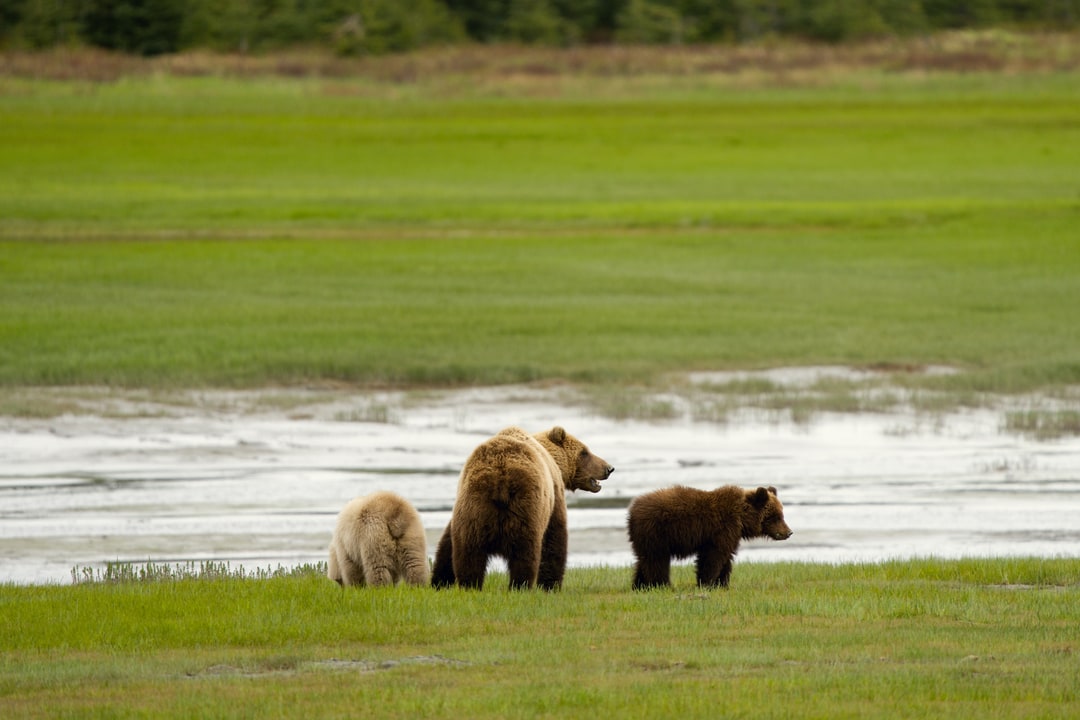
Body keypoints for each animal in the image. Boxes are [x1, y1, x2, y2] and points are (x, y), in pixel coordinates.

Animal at [430, 426, 614, 591]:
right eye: (584, 452)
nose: (609, 468)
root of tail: (499, 477)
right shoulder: (553, 496)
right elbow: (554, 537)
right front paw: (550, 585)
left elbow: (448, 540)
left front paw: (440, 580)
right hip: (525, 506)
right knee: (525, 552)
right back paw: (520, 586)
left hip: (474, 505)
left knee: (469, 552)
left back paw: (470, 585)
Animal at [627, 485, 792, 590]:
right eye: (776, 516)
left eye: (782, 514)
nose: (789, 532)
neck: (741, 519)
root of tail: (632, 510)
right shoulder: (720, 531)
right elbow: (713, 558)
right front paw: (706, 583)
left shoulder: (731, 535)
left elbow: (726, 558)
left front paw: (722, 584)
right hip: (657, 533)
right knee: (656, 561)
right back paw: (662, 585)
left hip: (646, 538)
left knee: (644, 560)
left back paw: (640, 586)